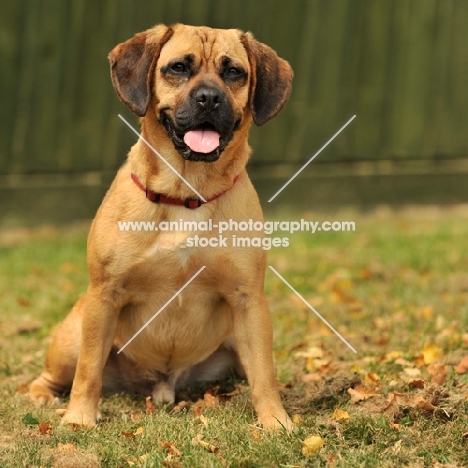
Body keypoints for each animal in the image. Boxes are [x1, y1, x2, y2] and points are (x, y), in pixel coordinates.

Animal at [28, 23, 292, 430]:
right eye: (179, 67)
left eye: (234, 72)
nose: (209, 98)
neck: (186, 192)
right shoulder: (105, 295)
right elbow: (88, 372)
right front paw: (80, 418)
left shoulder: (248, 300)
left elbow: (265, 373)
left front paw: (275, 421)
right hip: (73, 336)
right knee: (58, 374)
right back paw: (43, 396)